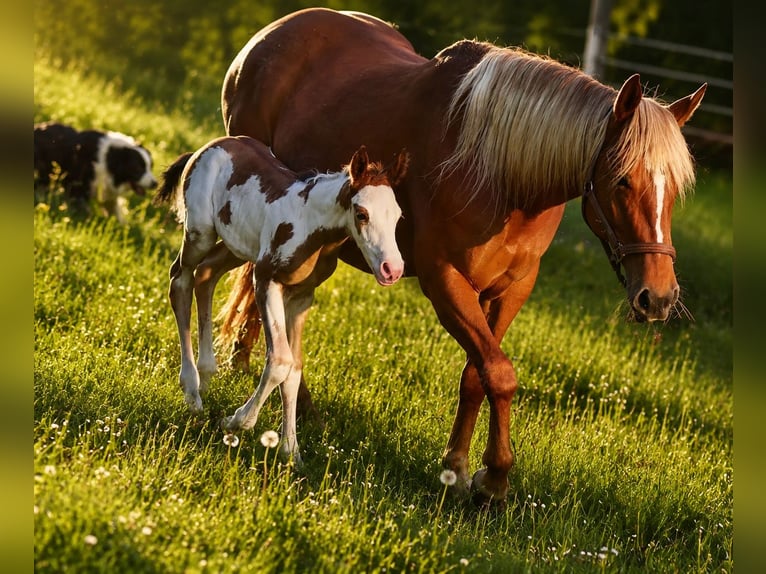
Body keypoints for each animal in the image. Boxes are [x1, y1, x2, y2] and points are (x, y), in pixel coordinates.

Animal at [156, 136, 409, 463]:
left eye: (398, 216)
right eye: (362, 214)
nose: (392, 270)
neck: (310, 222)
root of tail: (210, 146)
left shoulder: (302, 297)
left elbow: (295, 370)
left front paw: (291, 450)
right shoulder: (266, 280)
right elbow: (279, 361)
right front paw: (238, 421)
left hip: (237, 247)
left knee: (207, 275)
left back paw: (207, 374)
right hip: (200, 233)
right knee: (181, 279)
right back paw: (192, 390)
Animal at [209, 7, 706, 506]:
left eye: (676, 189)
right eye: (622, 180)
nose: (659, 297)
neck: (503, 176)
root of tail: (272, 33)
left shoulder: (509, 289)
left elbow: (477, 374)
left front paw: (460, 469)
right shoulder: (444, 281)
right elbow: (500, 374)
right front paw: (494, 479)